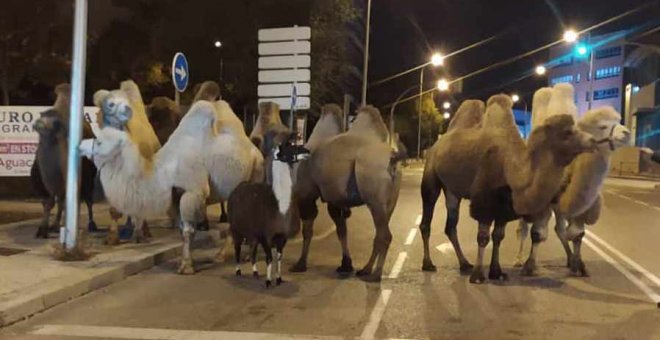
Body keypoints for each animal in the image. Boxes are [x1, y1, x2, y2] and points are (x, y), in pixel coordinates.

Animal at [30, 84, 97, 239]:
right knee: (60, 200)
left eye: (55, 122)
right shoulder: (42, 182)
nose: (37, 124)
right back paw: (56, 225)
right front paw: (42, 229)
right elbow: (48, 202)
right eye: (41, 115)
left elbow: (70, 201)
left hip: (88, 177)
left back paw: (91, 224)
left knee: (87, 199)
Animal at [84, 98, 264, 274]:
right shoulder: (174, 197)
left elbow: (188, 230)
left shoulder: (193, 192)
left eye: (101, 141)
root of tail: (254, 149)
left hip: (256, 172)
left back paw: (245, 256)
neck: (165, 170)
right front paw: (185, 262)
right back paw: (222, 255)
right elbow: (181, 229)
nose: (84, 146)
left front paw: (186, 267)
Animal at [290, 104, 402, 282]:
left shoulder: (306, 194)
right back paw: (365, 269)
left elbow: (308, 230)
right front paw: (346, 265)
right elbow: (341, 229)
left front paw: (300, 264)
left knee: (385, 235)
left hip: (375, 199)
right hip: (390, 202)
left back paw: (376, 274)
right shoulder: (335, 199)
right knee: (379, 233)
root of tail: (393, 159)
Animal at [422, 89, 600, 282]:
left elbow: (498, 236)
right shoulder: (484, 201)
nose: (593, 140)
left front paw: (496, 271)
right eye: (567, 132)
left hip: (452, 190)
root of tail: (435, 146)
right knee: (427, 219)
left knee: (451, 226)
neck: (512, 167)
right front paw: (478, 275)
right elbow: (483, 237)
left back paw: (464, 263)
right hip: (431, 177)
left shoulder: (505, 204)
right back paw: (428, 264)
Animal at [512, 106, 632, 276]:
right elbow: (538, 234)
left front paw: (579, 264)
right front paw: (529, 266)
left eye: (618, 121)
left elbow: (577, 234)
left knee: (560, 229)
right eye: (602, 126)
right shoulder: (544, 204)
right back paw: (518, 259)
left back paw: (569, 259)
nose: (627, 133)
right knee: (523, 228)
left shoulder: (581, 208)